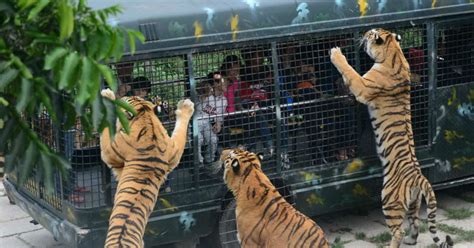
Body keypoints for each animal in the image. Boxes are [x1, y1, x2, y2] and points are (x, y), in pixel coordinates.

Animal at [100, 88, 194, 247]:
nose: (124, 93)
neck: (144, 115)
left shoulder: (108, 153)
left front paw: (107, 95)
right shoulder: (174, 152)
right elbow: (180, 131)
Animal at [328, 28, 454, 247]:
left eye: (370, 34)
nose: (364, 33)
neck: (395, 53)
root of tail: (420, 177)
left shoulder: (363, 86)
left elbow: (349, 71)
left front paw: (336, 53)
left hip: (388, 200)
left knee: (398, 231)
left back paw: (393, 243)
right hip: (413, 203)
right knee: (415, 223)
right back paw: (411, 240)